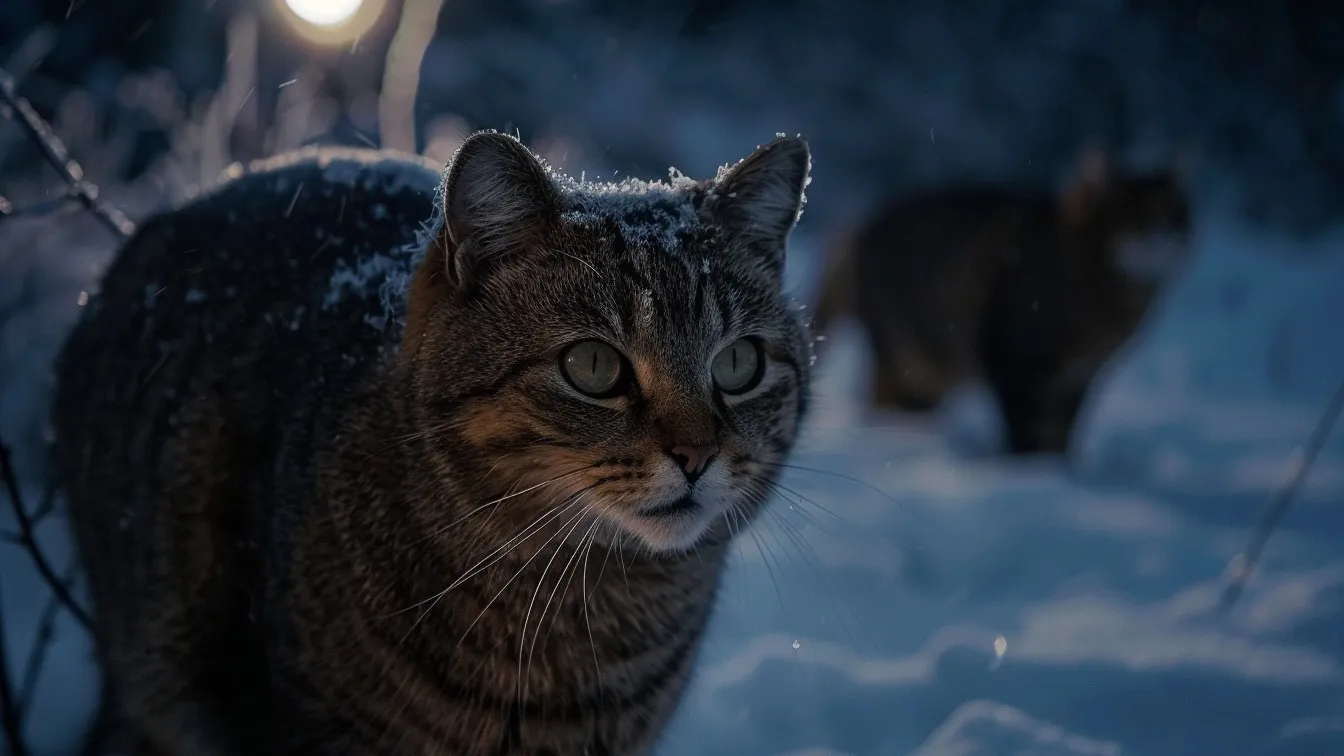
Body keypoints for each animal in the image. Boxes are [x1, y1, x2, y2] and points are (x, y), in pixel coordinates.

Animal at [811, 147, 1193, 451]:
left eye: (1172, 215)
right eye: (1130, 216)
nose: (1159, 236)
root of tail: (858, 225)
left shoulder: (1080, 378)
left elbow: (1062, 437)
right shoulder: (1014, 361)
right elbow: (1026, 431)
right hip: (903, 353)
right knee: (882, 396)